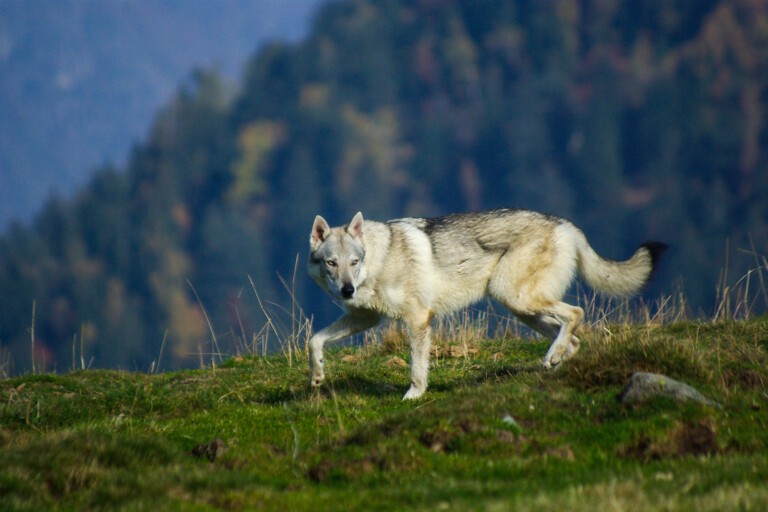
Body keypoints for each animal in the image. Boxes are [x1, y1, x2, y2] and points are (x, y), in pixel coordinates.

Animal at [306, 208, 664, 400]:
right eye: (332, 264)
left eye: (354, 262)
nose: (347, 290)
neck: (378, 262)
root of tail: (566, 225)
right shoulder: (364, 319)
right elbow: (315, 340)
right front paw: (317, 376)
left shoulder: (418, 319)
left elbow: (417, 368)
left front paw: (413, 396)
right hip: (522, 309)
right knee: (572, 337)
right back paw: (555, 361)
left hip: (515, 297)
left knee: (576, 313)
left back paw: (552, 357)